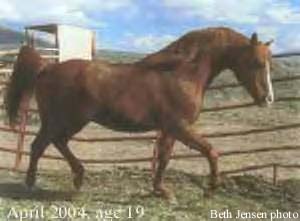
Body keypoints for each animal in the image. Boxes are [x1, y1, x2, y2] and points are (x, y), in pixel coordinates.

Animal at [4, 27, 274, 199]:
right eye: (257, 63)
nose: (268, 99)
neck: (181, 73)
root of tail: (46, 68)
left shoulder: (169, 129)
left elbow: (164, 158)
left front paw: (161, 191)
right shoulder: (180, 127)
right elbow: (211, 151)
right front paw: (210, 188)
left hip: (67, 122)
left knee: (56, 143)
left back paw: (77, 177)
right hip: (62, 120)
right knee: (40, 145)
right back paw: (32, 184)